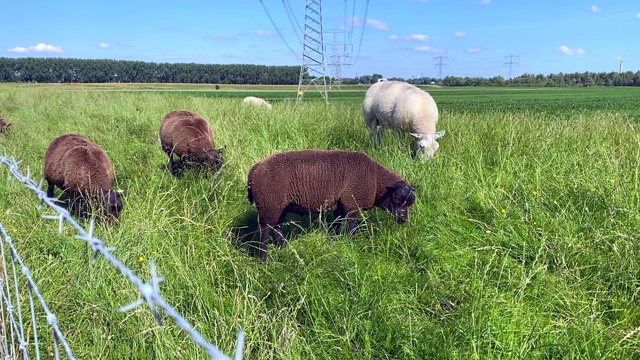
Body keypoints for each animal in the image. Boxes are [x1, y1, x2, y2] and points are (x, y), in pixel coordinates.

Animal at [248, 149, 418, 262]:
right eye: (397, 199)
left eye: (411, 202)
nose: (403, 219)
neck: (376, 180)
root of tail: (255, 168)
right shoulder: (352, 205)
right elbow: (352, 228)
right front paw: (353, 246)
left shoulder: (341, 206)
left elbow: (337, 226)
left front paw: (334, 244)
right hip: (269, 205)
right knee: (265, 231)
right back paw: (264, 260)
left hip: (279, 207)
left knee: (277, 228)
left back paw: (285, 249)